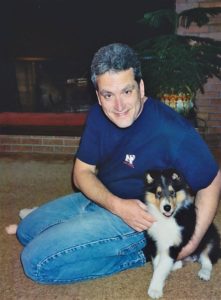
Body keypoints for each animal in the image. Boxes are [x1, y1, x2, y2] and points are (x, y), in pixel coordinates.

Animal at [142, 170, 220, 298]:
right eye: (158, 193)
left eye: (172, 192)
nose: (167, 208)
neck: (166, 219)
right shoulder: (154, 242)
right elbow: (157, 265)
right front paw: (160, 283)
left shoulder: (173, 246)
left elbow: (160, 268)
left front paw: (155, 291)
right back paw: (177, 265)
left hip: (210, 239)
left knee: (207, 259)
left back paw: (204, 273)